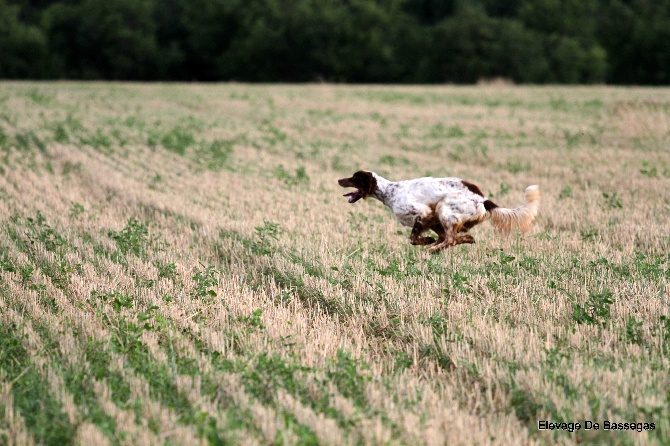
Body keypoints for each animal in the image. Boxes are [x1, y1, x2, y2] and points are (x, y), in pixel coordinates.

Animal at [342, 170, 540, 253]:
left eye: (354, 178)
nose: (339, 180)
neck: (390, 192)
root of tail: (483, 200)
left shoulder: (422, 213)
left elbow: (414, 238)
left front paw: (428, 242)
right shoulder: (432, 220)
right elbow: (439, 237)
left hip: (445, 208)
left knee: (451, 239)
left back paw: (432, 250)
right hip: (443, 213)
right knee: (452, 238)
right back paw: (463, 239)